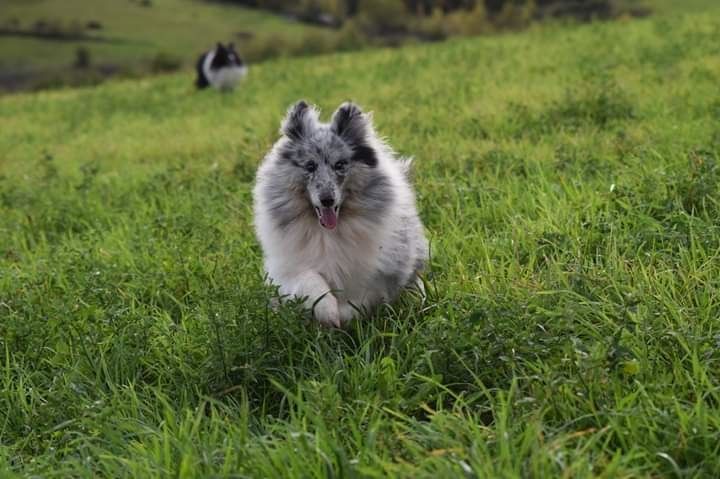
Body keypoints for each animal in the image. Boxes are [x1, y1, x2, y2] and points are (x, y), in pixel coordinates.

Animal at [253, 101, 428, 326]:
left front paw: (343, 316)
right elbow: (311, 283)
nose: (327, 199)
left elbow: (361, 299)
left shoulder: (379, 273)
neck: (330, 233)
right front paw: (328, 313)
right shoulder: (291, 269)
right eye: (310, 166)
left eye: (340, 165)